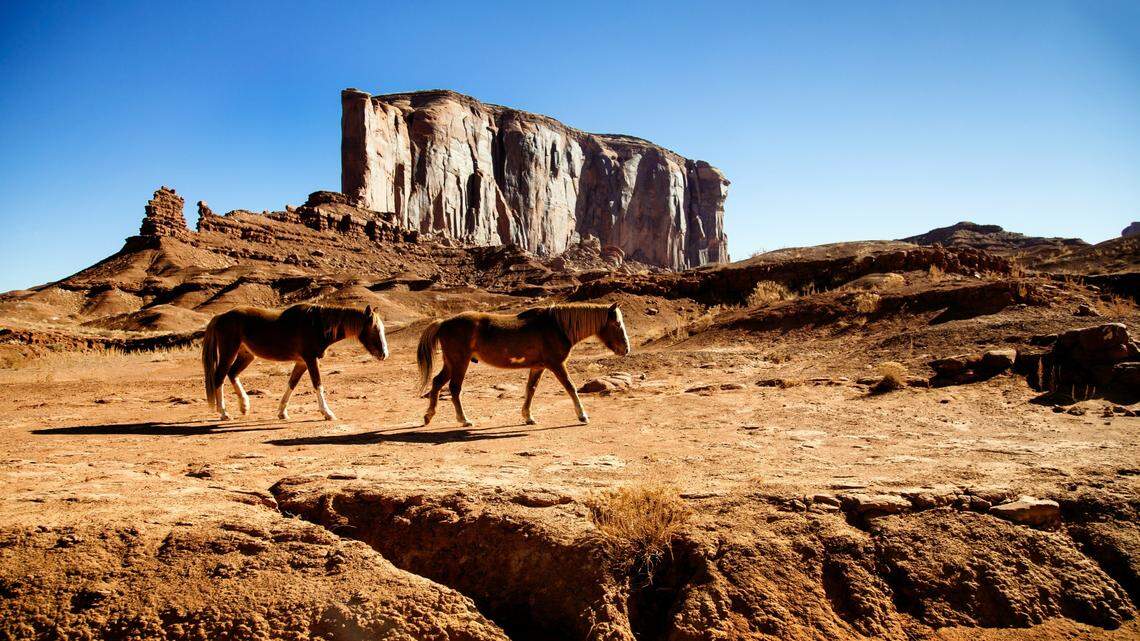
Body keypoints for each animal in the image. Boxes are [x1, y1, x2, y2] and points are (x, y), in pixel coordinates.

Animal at [201, 303, 388, 421]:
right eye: (375, 329)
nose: (384, 354)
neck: (317, 325)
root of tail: (220, 317)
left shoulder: (302, 362)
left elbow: (292, 383)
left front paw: (282, 412)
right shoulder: (310, 359)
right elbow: (318, 384)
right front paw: (327, 413)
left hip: (247, 355)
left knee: (232, 374)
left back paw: (244, 406)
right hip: (229, 352)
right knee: (219, 377)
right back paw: (224, 413)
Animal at [416, 302, 630, 427]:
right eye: (617, 324)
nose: (626, 349)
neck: (556, 326)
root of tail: (444, 323)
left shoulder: (538, 366)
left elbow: (530, 389)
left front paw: (528, 417)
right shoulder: (556, 364)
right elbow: (570, 387)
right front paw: (582, 415)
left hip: (451, 363)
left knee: (437, 382)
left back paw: (428, 416)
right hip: (460, 362)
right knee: (454, 388)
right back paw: (464, 420)